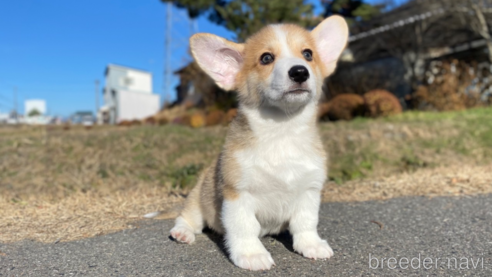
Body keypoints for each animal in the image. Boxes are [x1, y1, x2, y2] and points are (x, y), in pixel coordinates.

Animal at [171, 15, 348, 270]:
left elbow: (305, 222)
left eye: (308, 54)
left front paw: (311, 245)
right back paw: (182, 233)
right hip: (198, 199)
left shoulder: (309, 191)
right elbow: (245, 226)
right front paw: (251, 254)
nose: (299, 72)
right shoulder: (237, 193)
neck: (282, 131)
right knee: (188, 218)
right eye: (266, 58)